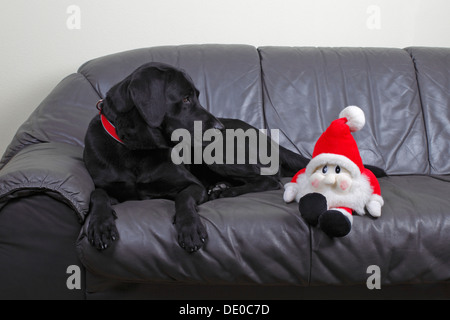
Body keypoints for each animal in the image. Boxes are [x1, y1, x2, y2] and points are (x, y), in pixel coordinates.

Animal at [84, 62, 310, 252]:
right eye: (185, 98)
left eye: (197, 96)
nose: (220, 128)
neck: (137, 149)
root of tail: (266, 136)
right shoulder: (105, 185)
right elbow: (97, 193)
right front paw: (100, 225)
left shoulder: (193, 185)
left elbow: (184, 197)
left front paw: (190, 228)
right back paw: (220, 186)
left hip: (216, 155)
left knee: (270, 179)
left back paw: (226, 192)